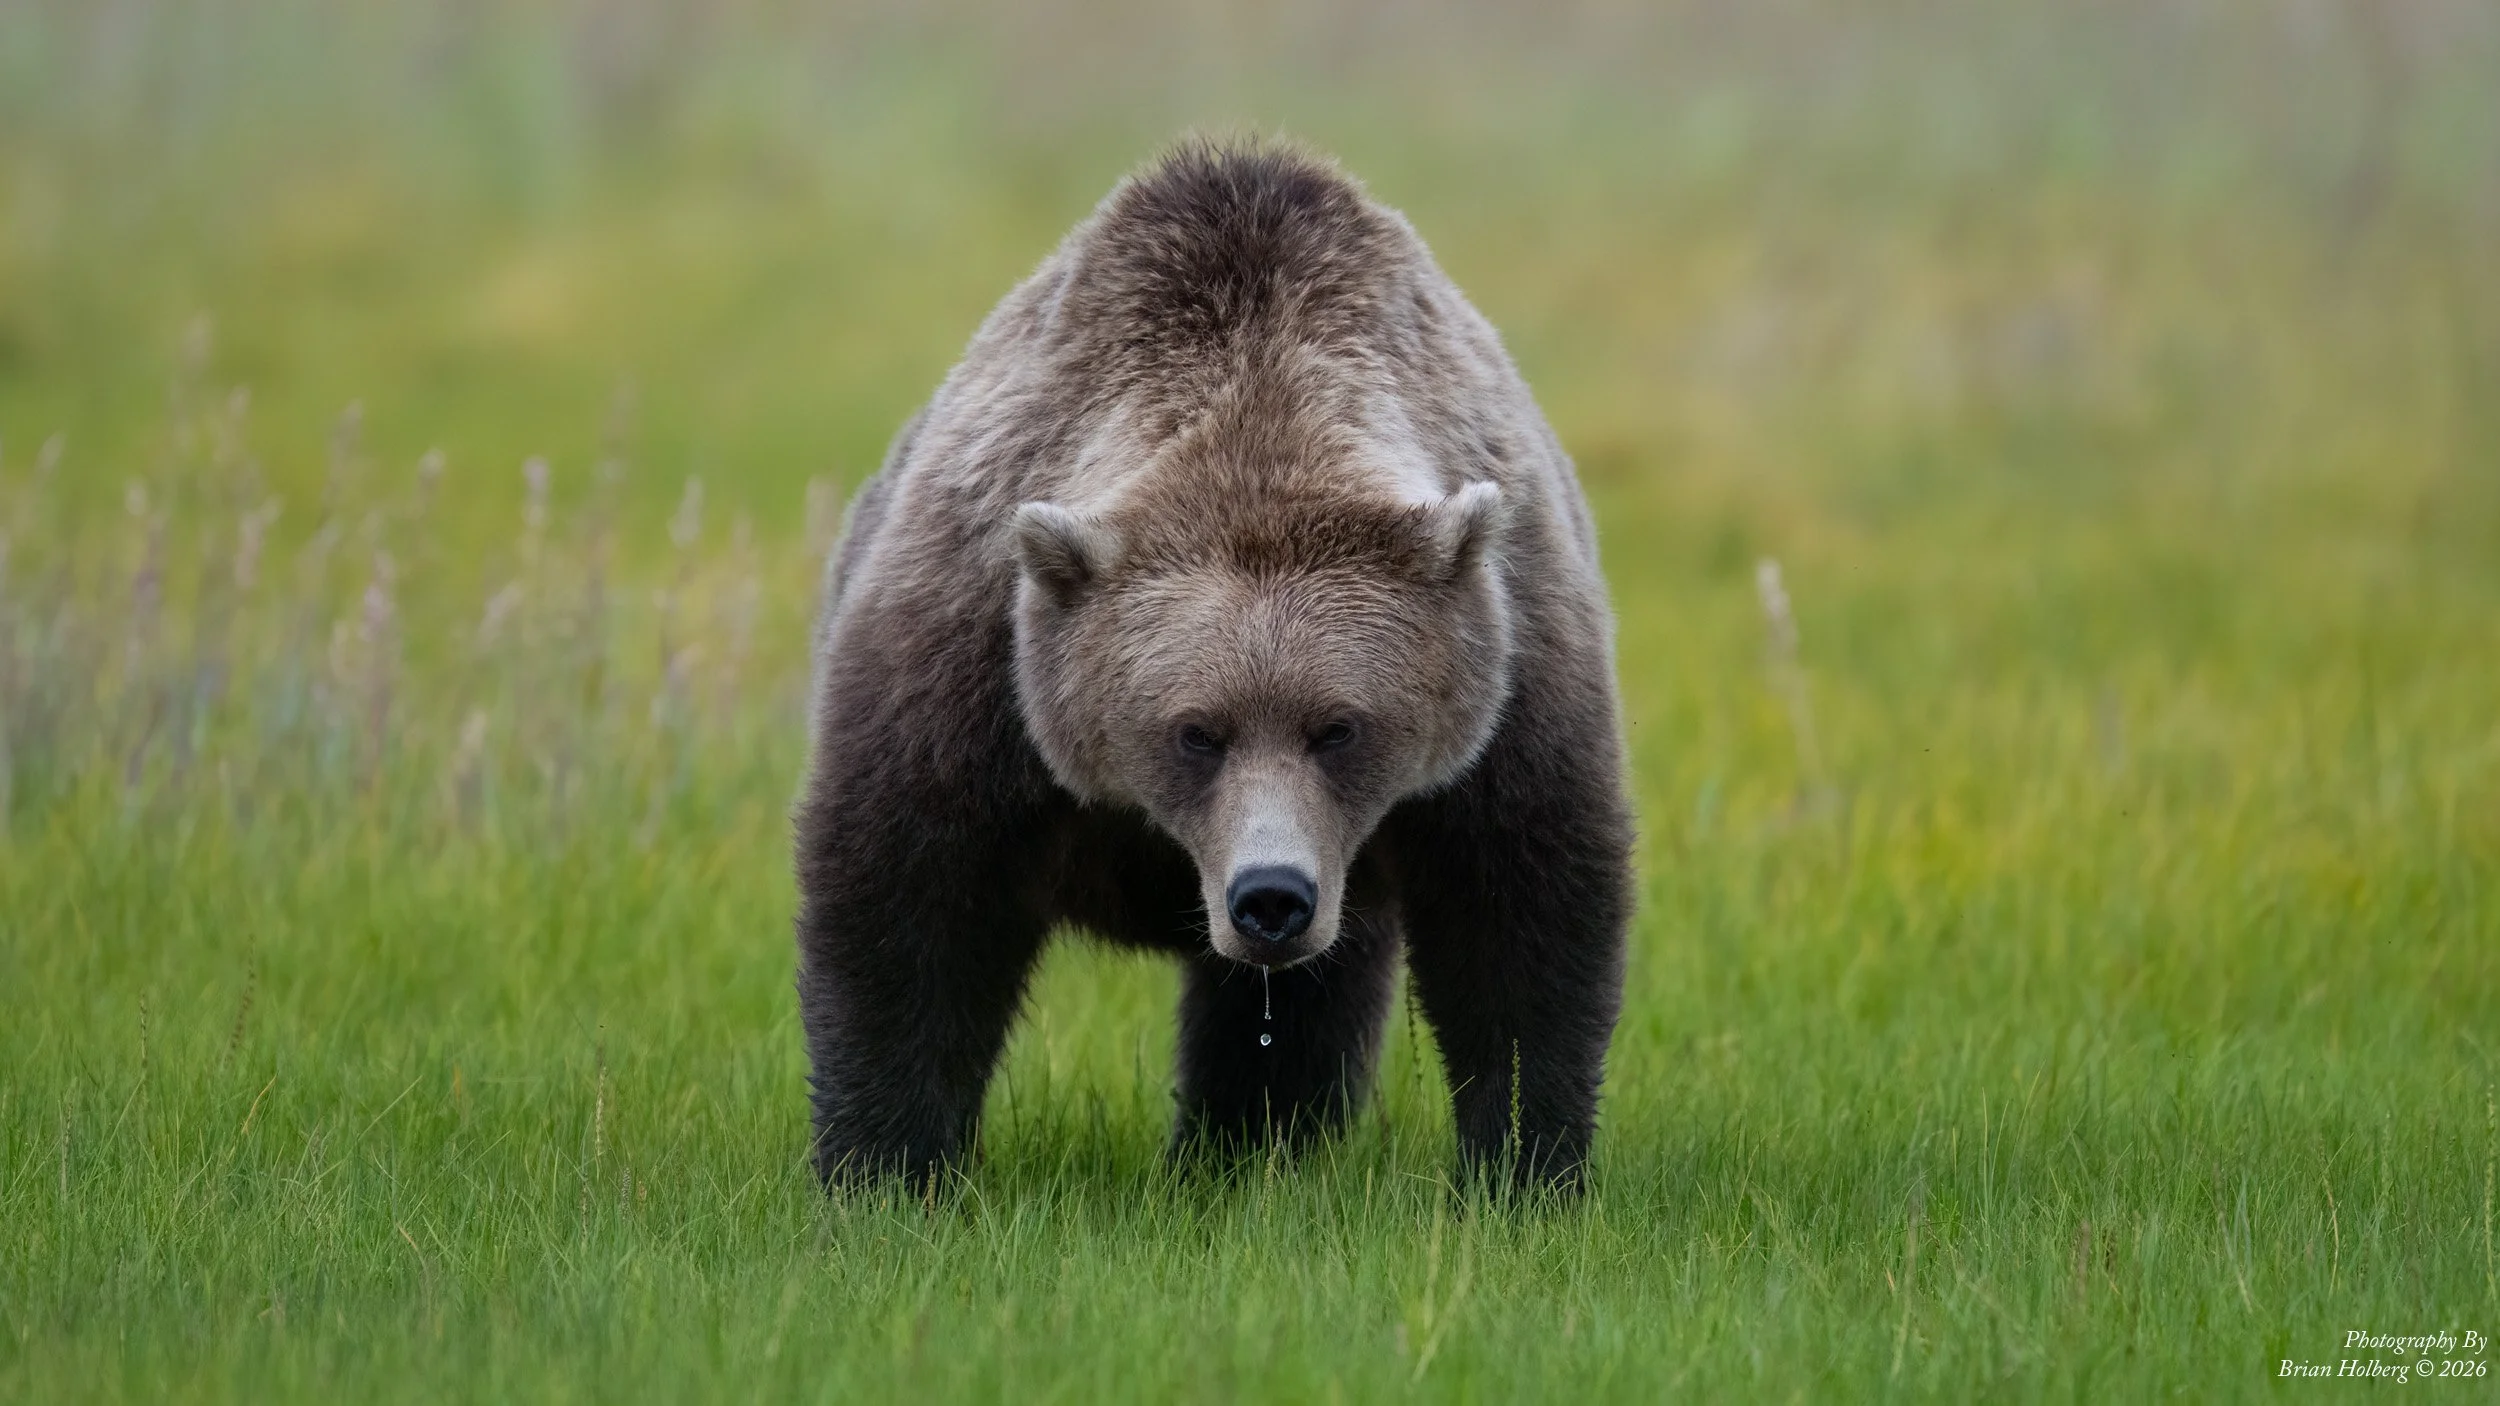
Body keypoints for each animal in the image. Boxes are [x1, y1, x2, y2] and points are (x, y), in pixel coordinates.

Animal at [795, 140, 1632, 1190]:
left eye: (1338, 727)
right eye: (1195, 731)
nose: (1270, 896)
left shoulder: (1511, 672)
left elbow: (1524, 916)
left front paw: (1525, 1165)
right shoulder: (977, 654)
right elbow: (911, 899)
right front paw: (884, 1167)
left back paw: (1248, 1151)